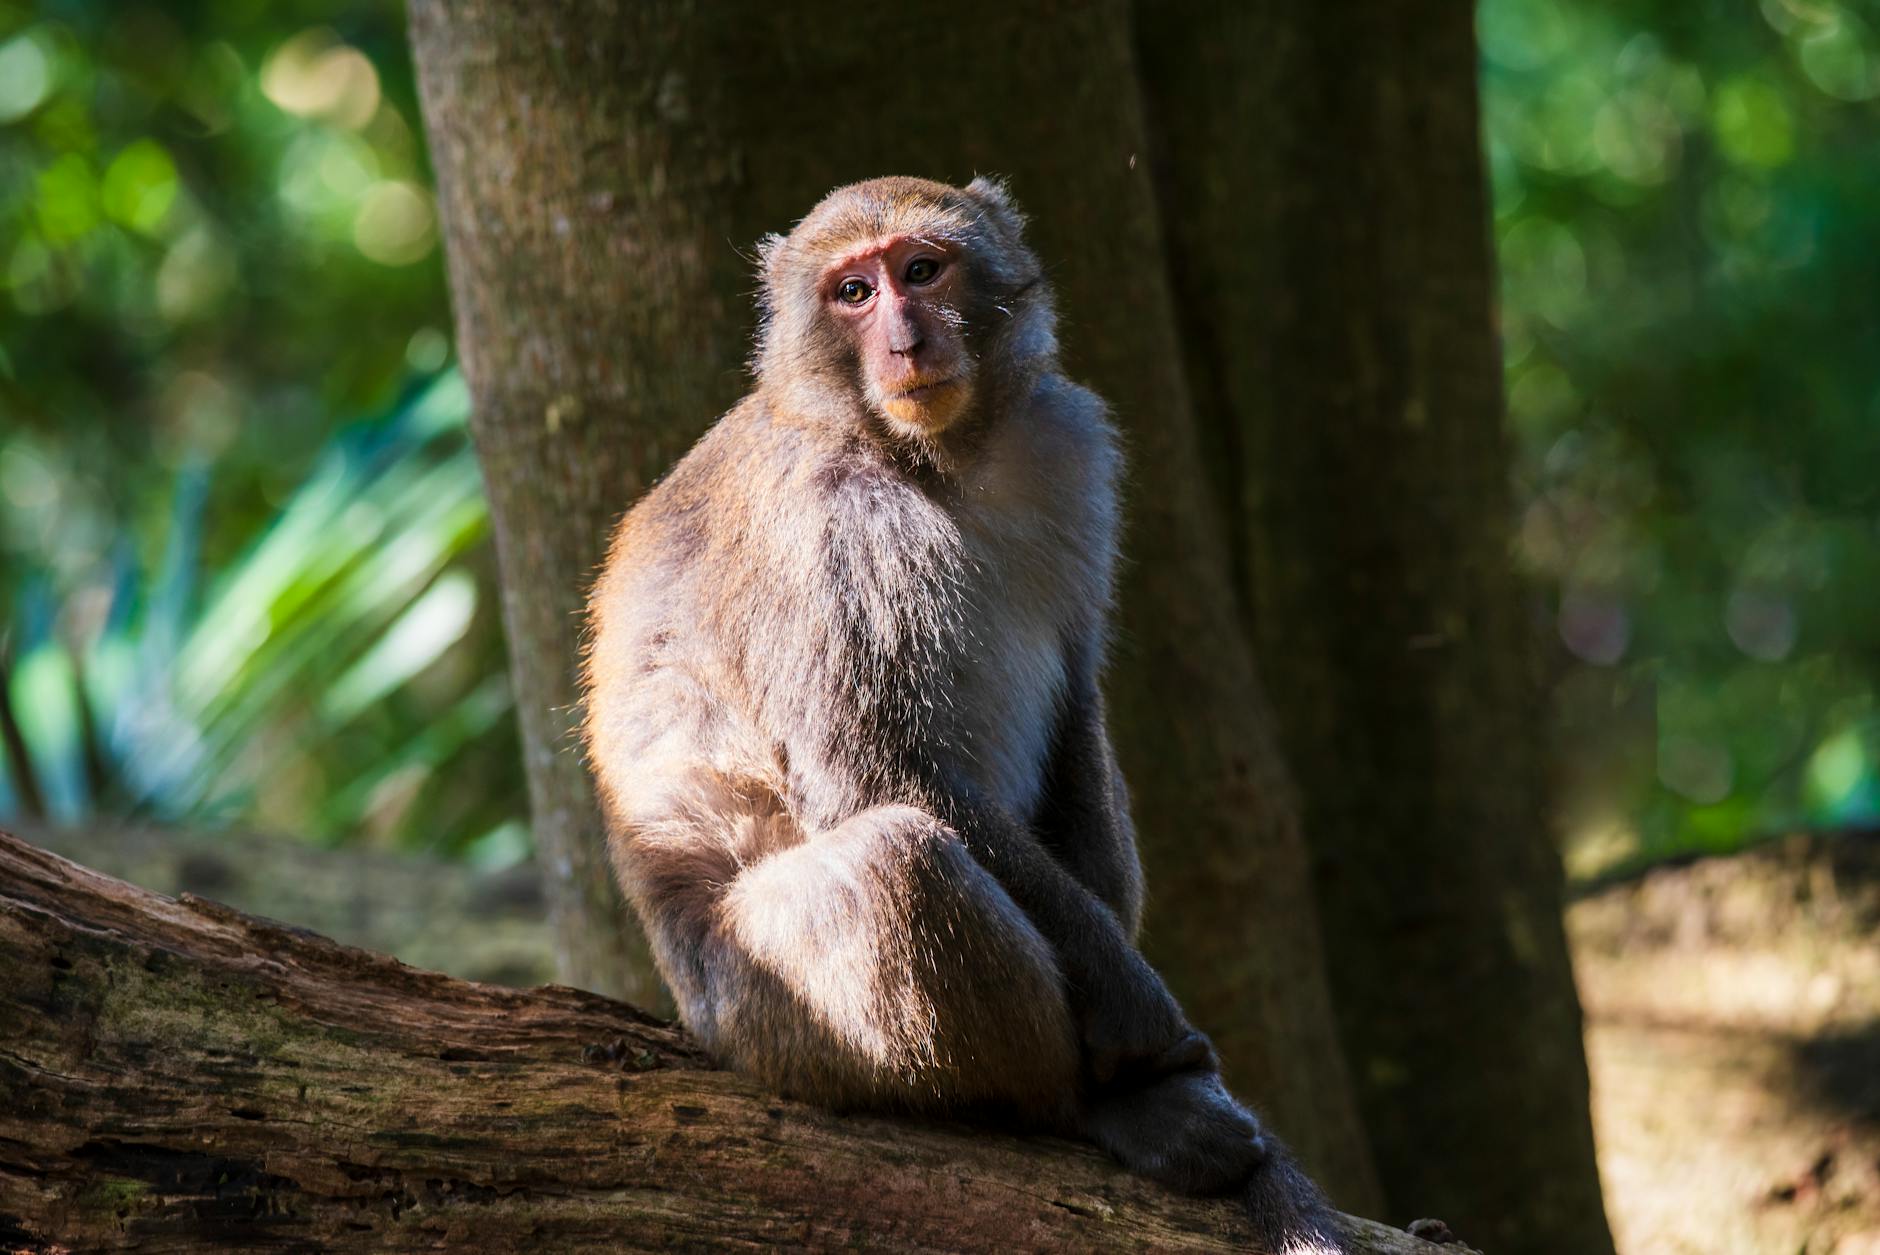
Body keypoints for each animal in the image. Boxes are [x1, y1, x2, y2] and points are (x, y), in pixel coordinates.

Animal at [582, 175, 1342, 1252]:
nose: (904, 340)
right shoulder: (824, 531)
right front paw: (1138, 1016)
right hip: (772, 1014)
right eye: (853, 291)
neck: (926, 456)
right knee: (899, 864)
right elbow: (876, 770)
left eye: (922, 270)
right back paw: (1087, 1107)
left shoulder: (1066, 444)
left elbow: (1076, 701)